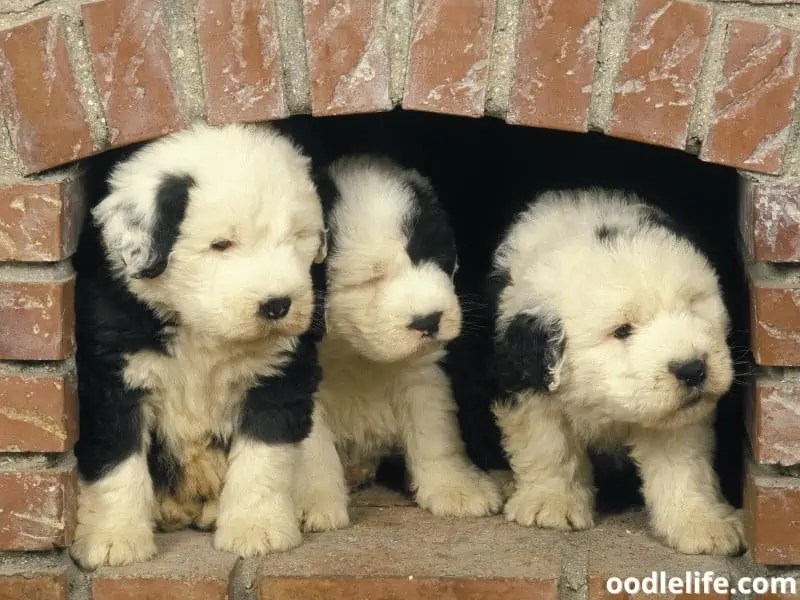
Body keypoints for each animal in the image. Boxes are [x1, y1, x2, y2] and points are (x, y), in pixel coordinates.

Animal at [70, 123, 326, 568]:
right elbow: (116, 460)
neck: (200, 330)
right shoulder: (112, 376)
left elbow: (264, 457)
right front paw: (115, 540)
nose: (278, 305)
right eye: (221, 244)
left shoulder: (278, 374)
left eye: (297, 238)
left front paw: (256, 530)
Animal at [290, 156, 504, 528]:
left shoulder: (424, 373)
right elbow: (311, 447)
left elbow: (435, 432)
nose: (428, 321)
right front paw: (312, 501)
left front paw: (456, 488)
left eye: (436, 259)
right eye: (369, 278)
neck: (355, 353)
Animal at [490, 189, 748, 556]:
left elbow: (683, 464)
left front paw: (701, 523)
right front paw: (551, 504)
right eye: (622, 331)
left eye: (691, 305)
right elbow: (548, 444)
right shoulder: (525, 382)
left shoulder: (672, 417)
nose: (692, 369)